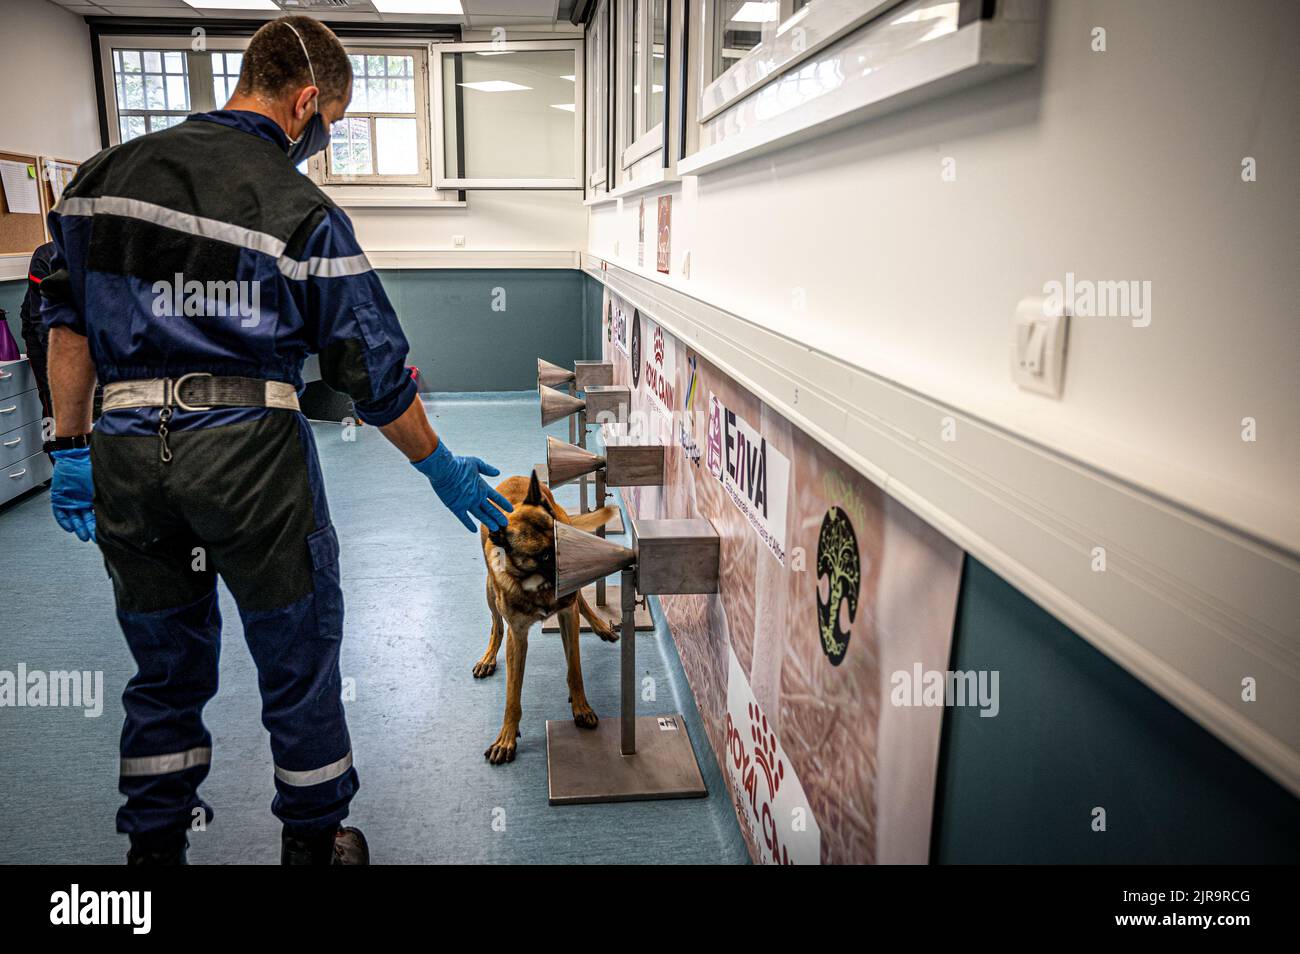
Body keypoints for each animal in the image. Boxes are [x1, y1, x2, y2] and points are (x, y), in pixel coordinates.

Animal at [478, 473, 618, 769]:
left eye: (558, 539)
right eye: (543, 555)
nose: (575, 563)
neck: (537, 586)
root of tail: (516, 477)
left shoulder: (567, 614)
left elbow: (575, 669)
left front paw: (581, 707)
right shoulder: (517, 635)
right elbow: (512, 694)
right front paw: (506, 738)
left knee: (582, 601)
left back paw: (600, 625)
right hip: (490, 590)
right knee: (496, 625)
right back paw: (488, 658)